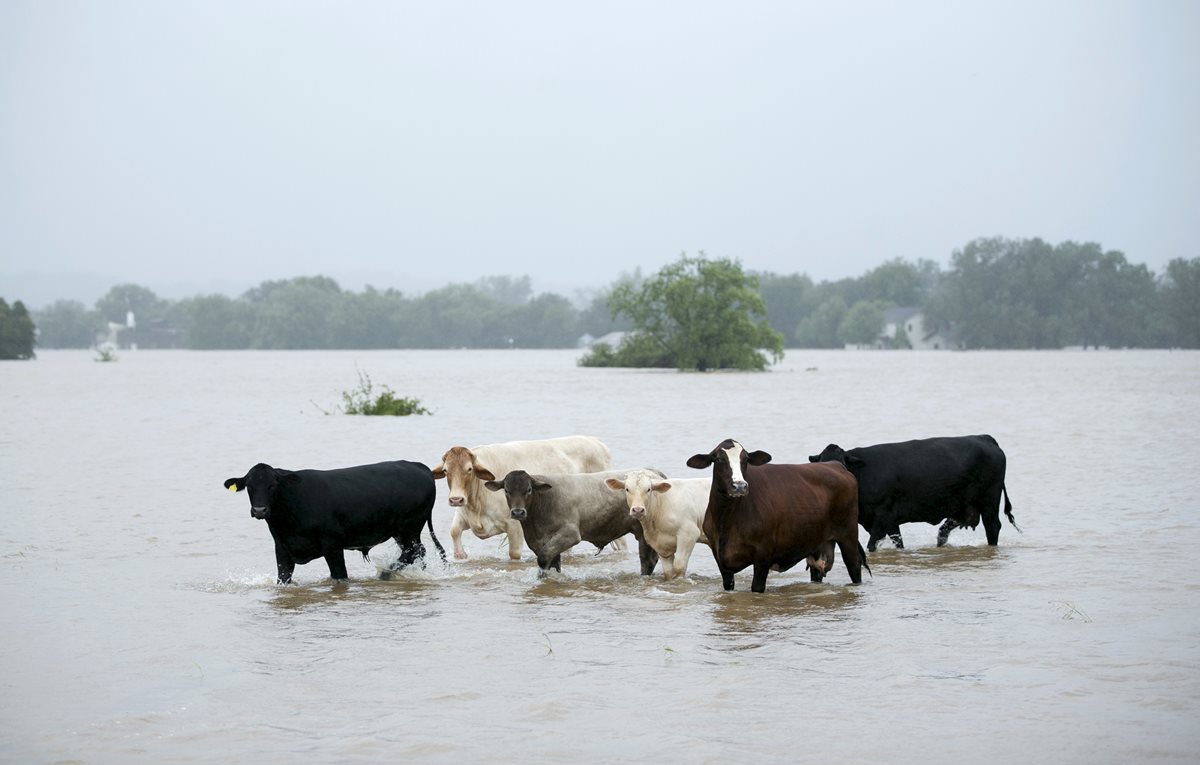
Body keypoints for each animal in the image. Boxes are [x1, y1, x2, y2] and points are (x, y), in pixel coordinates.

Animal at [222, 460, 446, 587]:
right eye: (249, 486)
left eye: (273, 484)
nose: (260, 510)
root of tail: (419, 466)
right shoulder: (282, 549)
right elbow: (283, 578)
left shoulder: (332, 545)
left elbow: (340, 575)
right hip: (405, 532)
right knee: (417, 554)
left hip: (409, 528)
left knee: (414, 552)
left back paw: (385, 574)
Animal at [434, 436, 614, 563]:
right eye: (445, 470)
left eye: (469, 469)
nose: (456, 499)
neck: (476, 505)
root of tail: (596, 441)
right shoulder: (462, 515)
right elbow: (454, 533)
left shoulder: (514, 526)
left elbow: (514, 554)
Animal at [482, 470, 662, 577]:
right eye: (507, 490)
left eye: (528, 490)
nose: (518, 512)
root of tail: (653, 473)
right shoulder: (543, 542)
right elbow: (552, 563)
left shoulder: (569, 534)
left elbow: (542, 560)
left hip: (643, 534)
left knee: (647, 560)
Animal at [691, 441, 868, 597]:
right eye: (719, 459)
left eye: (745, 459)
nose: (739, 486)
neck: (726, 520)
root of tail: (835, 465)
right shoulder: (719, 557)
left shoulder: (763, 555)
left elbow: (757, 587)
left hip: (848, 535)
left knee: (854, 567)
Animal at [811, 434, 1017, 553]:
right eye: (822, 463)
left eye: (841, 463)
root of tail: (985, 438)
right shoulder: (889, 522)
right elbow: (898, 542)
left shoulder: (882, 517)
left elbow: (872, 545)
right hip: (964, 509)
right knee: (944, 530)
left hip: (989, 501)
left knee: (993, 526)